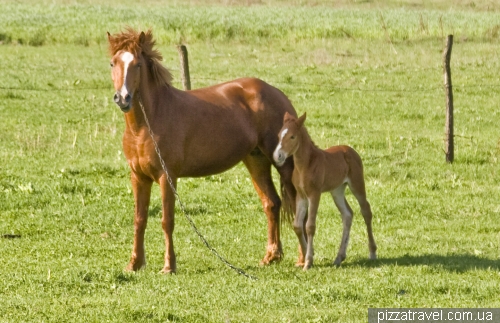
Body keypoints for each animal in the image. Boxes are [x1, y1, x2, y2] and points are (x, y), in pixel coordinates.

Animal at [105, 29, 296, 274]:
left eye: (137, 64)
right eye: (113, 63)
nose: (123, 98)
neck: (148, 123)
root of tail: (277, 93)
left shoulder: (167, 177)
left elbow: (167, 221)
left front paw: (169, 266)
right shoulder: (138, 177)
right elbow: (140, 219)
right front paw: (134, 264)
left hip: (285, 164)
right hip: (257, 160)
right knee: (271, 204)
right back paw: (271, 256)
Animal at [274, 112, 376, 270]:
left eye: (292, 136)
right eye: (279, 135)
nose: (278, 156)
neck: (305, 165)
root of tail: (350, 150)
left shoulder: (314, 194)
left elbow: (310, 226)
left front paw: (308, 262)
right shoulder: (301, 196)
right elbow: (297, 225)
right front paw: (306, 256)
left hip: (357, 184)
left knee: (366, 210)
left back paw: (372, 252)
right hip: (337, 190)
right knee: (347, 214)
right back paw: (339, 257)